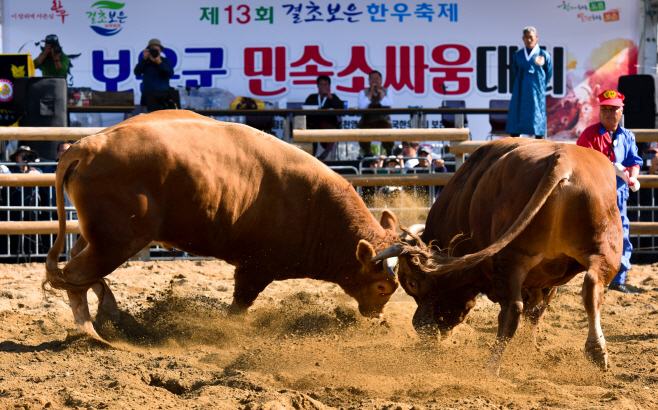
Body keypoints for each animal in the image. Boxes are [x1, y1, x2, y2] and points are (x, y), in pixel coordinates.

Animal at [44, 110, 400, 342]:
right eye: (382, 287)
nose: (378, 317)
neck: (316, 208)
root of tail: (87, 146)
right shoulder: (256, 267)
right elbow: (239, 306)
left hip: (97, 236)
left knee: (77, 269)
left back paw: (111, 313)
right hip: (117, 241)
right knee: (74, 275)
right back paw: (92, 333)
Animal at [374, 138, 620, 374]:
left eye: (412, 284)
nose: (421, 327)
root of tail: (562, 160)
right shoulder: (547, 282)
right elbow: (535, 313)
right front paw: (528, 350)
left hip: (512, 259)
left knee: (511, 309)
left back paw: (491, 366)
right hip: (604, 252)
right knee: (592, 286)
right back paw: (597, 351)